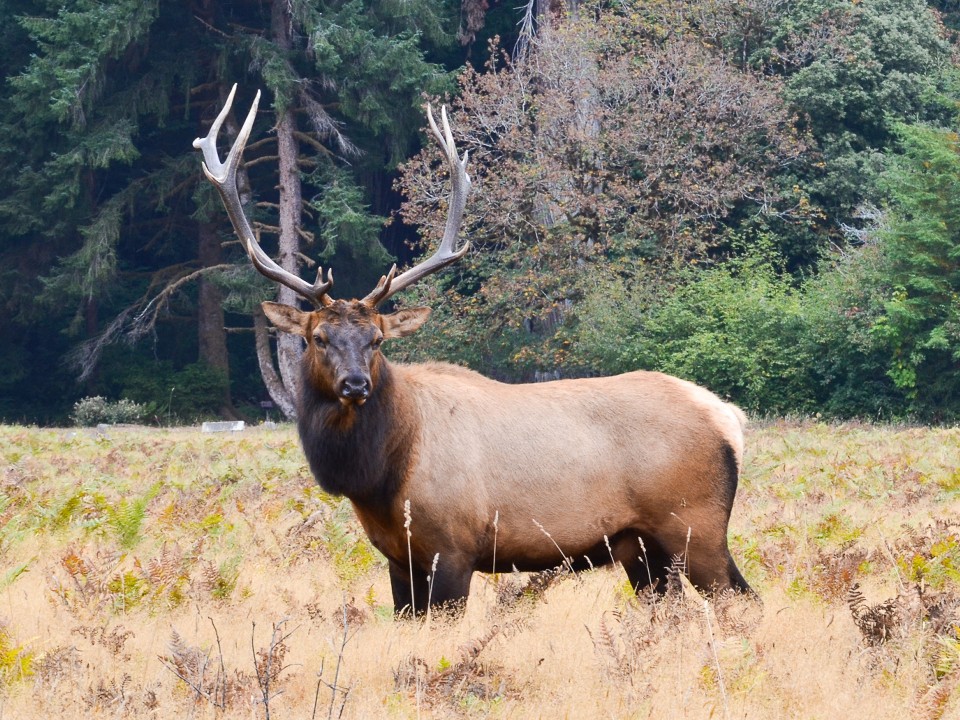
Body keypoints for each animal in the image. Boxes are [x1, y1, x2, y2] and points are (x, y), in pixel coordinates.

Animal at [193, 83, 752, 612]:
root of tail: (729, 417)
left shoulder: (454, 548)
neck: (382, 477)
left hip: (696, 524)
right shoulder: (398, 558)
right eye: (317, 338)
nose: (355, 384)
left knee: (741, 600)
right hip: (640, 547)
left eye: (377, 340)